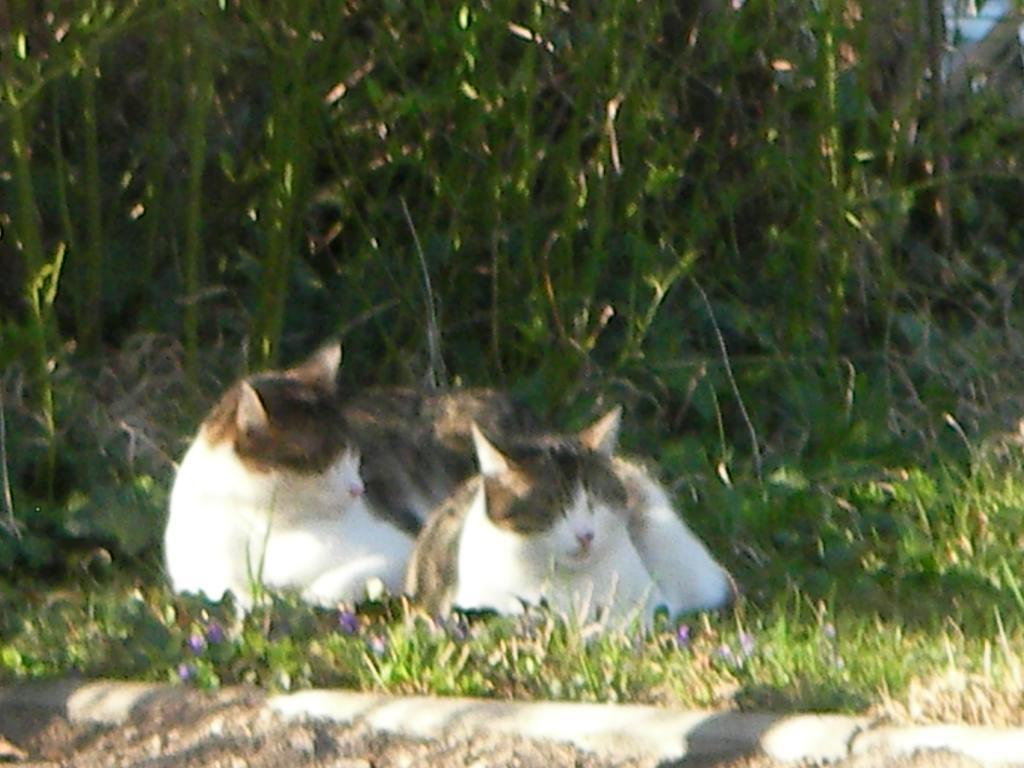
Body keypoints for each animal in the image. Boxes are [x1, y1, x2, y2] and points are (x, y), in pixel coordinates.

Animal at [162, 344, 532, 614]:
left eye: (353, 452)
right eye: (322, 463)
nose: (358, 488)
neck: (264, 522)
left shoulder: (402, 547)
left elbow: (332, 584)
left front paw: (308, 598)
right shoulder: (195, 571)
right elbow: (224, 588)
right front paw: (256, 599)